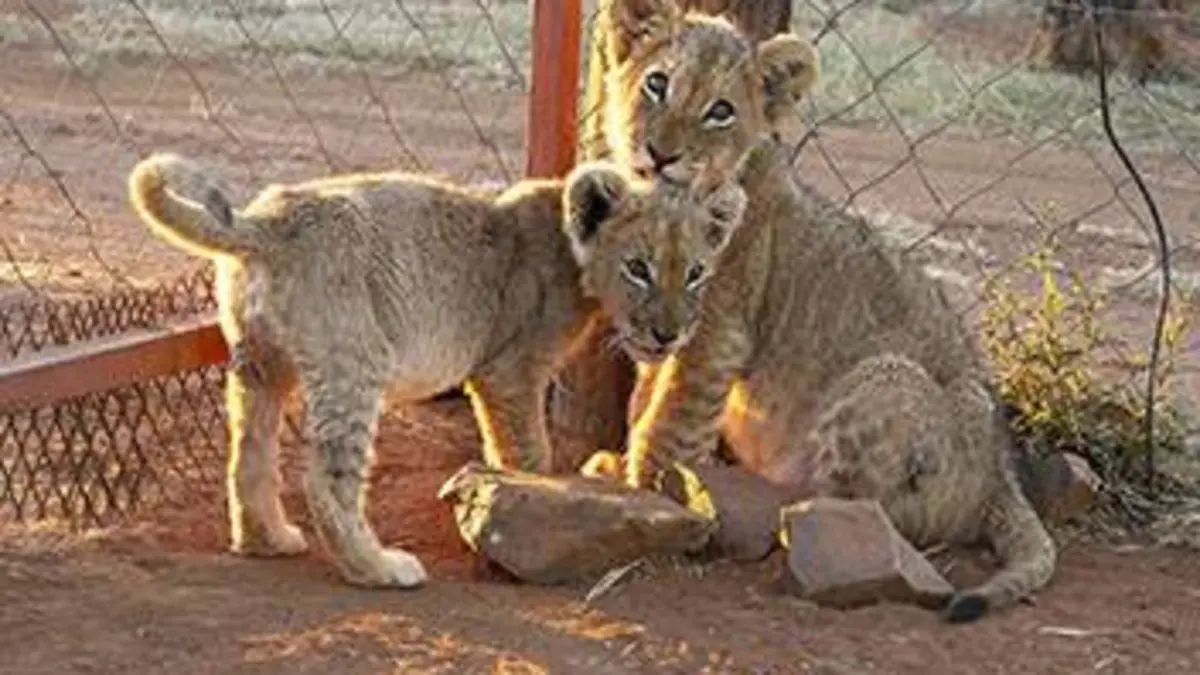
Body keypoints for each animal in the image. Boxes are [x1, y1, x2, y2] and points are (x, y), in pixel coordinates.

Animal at [127, 151, 747, 588]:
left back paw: (267, 540)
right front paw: (535, 512)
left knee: (247, 458)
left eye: (695, 273)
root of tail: (265, 222)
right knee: (327, 479)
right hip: (356, 360)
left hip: (259, 364)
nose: (670, 334)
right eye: (638, 268)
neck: (571, 249)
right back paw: (377, 569)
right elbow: (529, 452)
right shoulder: (509, 371)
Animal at [578, 0, 1056, 623]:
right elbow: (642, 403)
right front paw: (623, 470)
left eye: (720, 111)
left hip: (885, 377)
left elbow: (671, 425)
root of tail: (1002, 477)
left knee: (864, 515)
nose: (660, 155)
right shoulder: (659, 324)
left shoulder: (715, 333)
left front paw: (647, 492)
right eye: (657, 84)